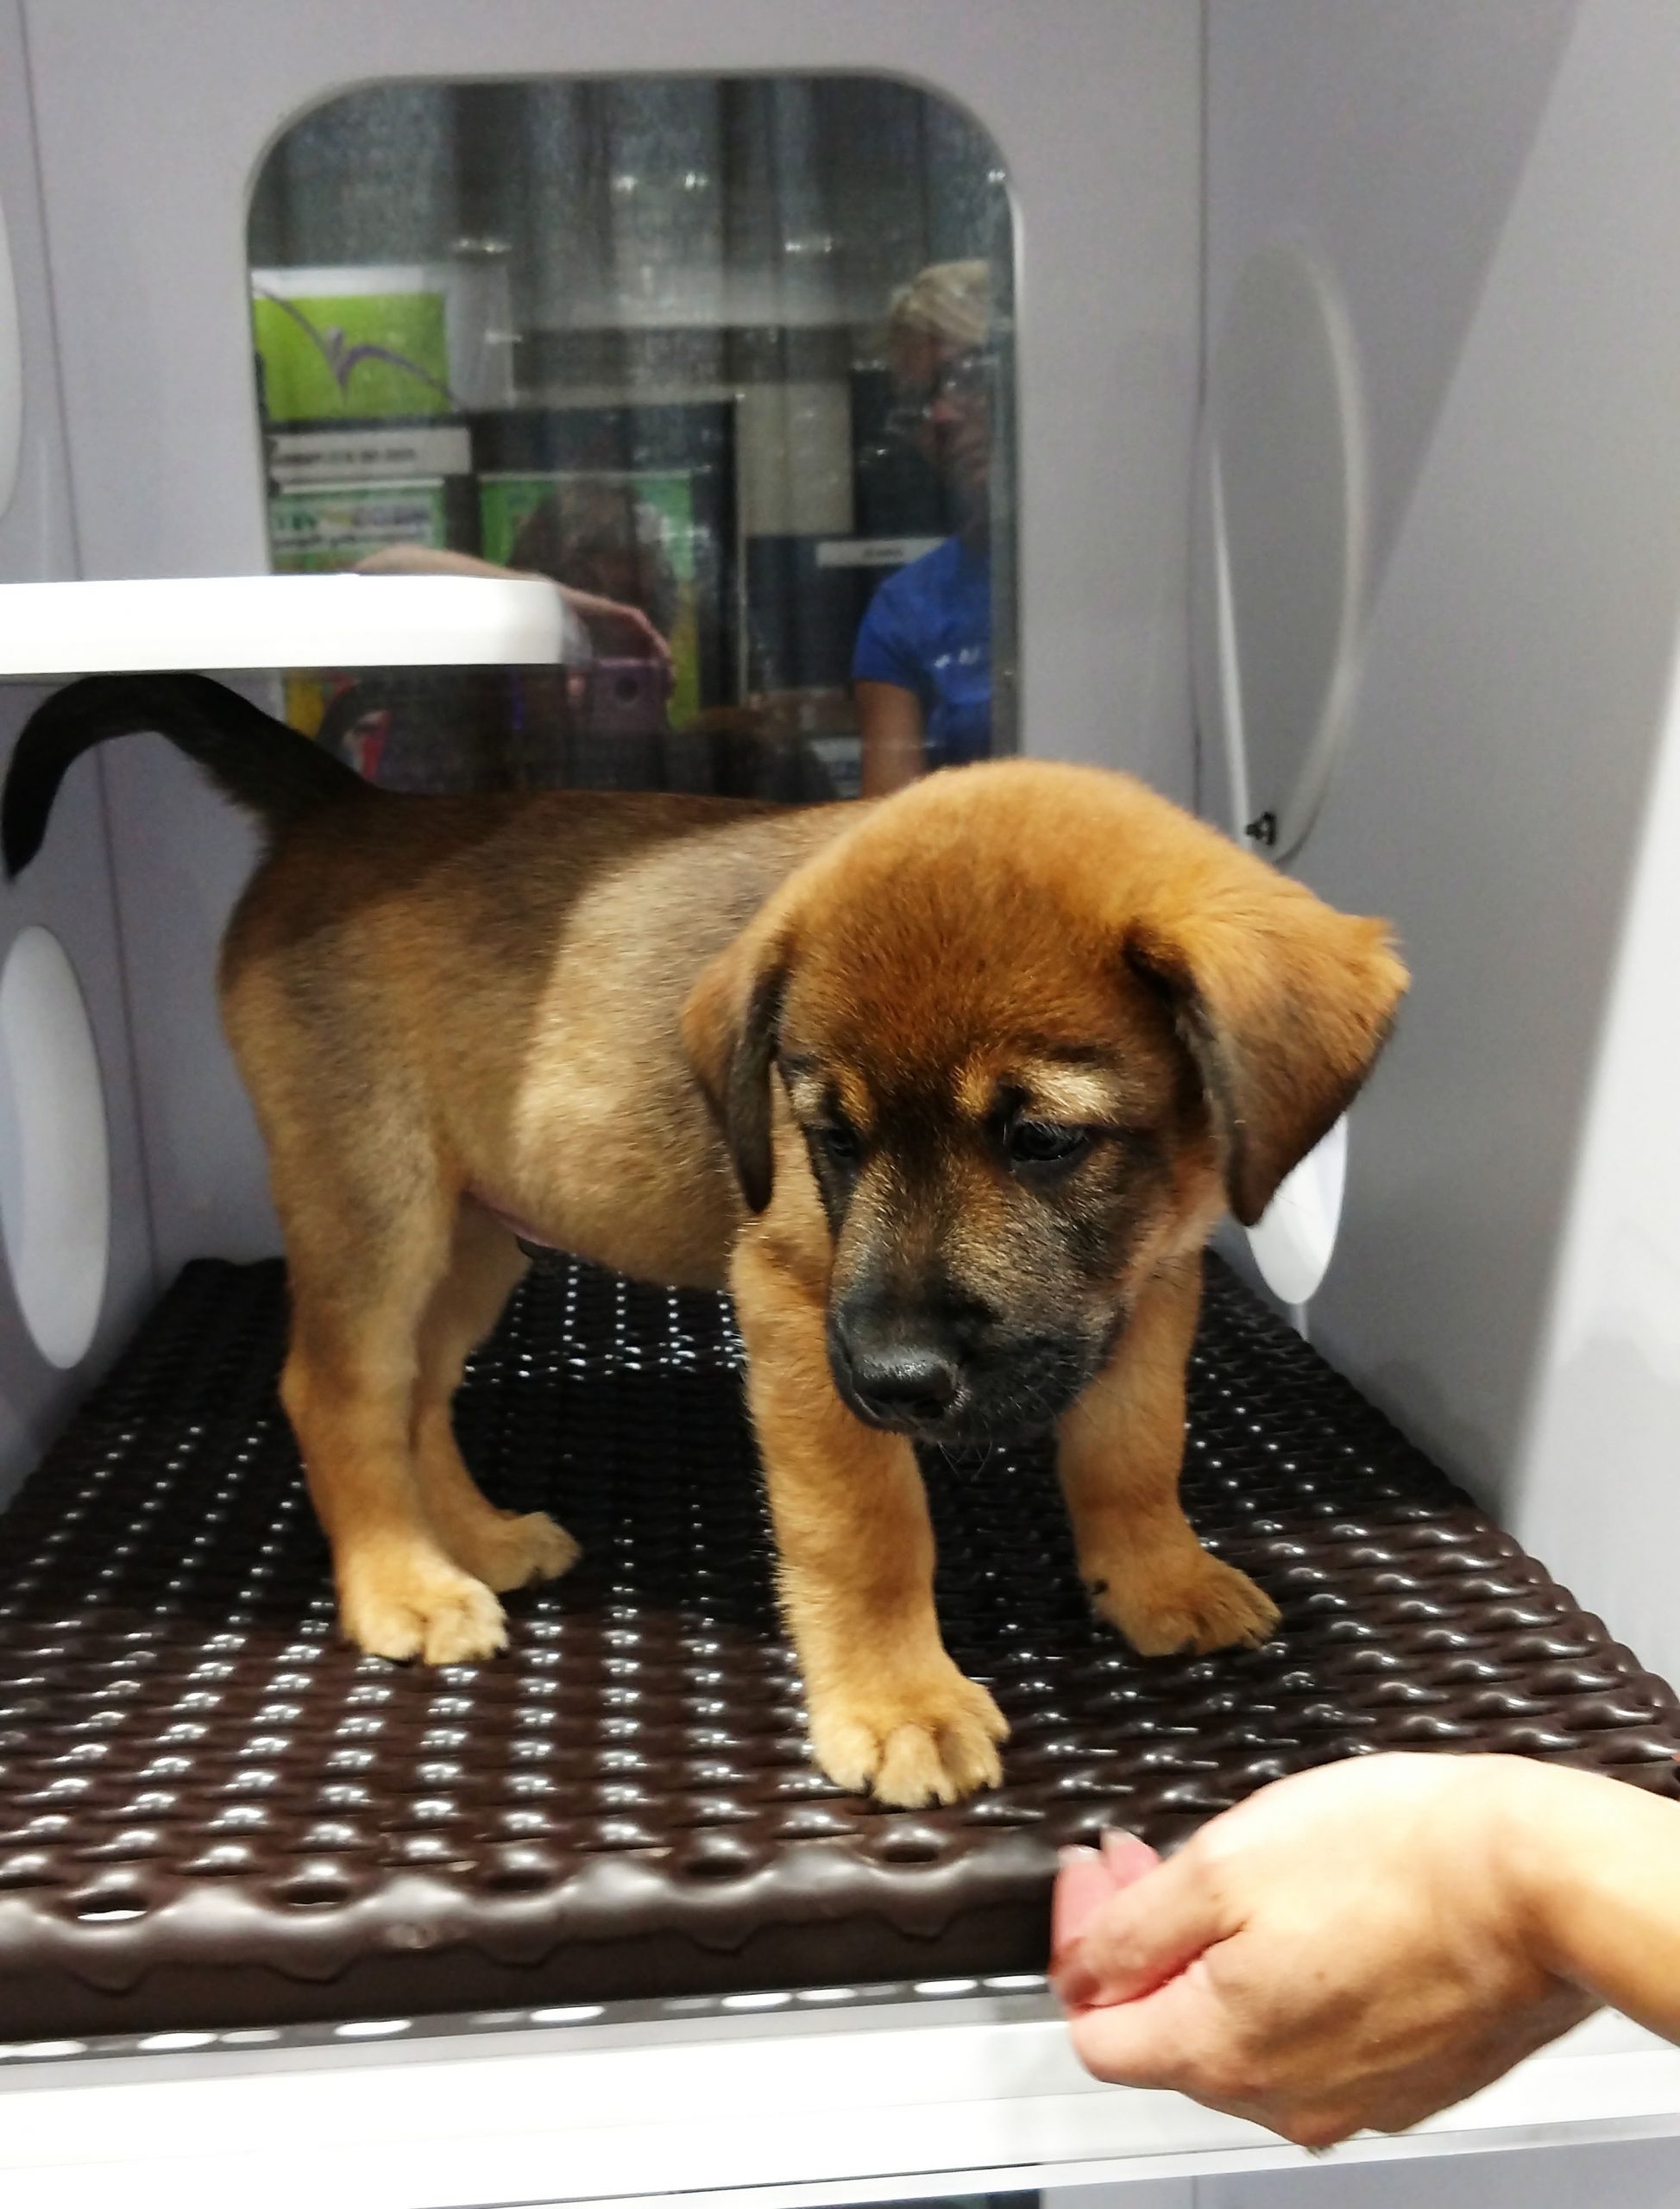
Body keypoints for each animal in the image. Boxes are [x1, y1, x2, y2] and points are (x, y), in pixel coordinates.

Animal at [3, 676, 1404, 1811]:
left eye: (1042, 1139)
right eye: (826, 1134)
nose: (893, 1382)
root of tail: (341, 808)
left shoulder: (1148, 1288)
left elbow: (1132, 1449)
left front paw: (1155, 1579)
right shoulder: (796, 1309)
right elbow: (869, 1530)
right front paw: (898, 1703)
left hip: (475, 1229)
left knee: (413, 1393)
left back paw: (473, 1540)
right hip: (373, 1199)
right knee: (338, 1389)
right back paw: (401, 1584)